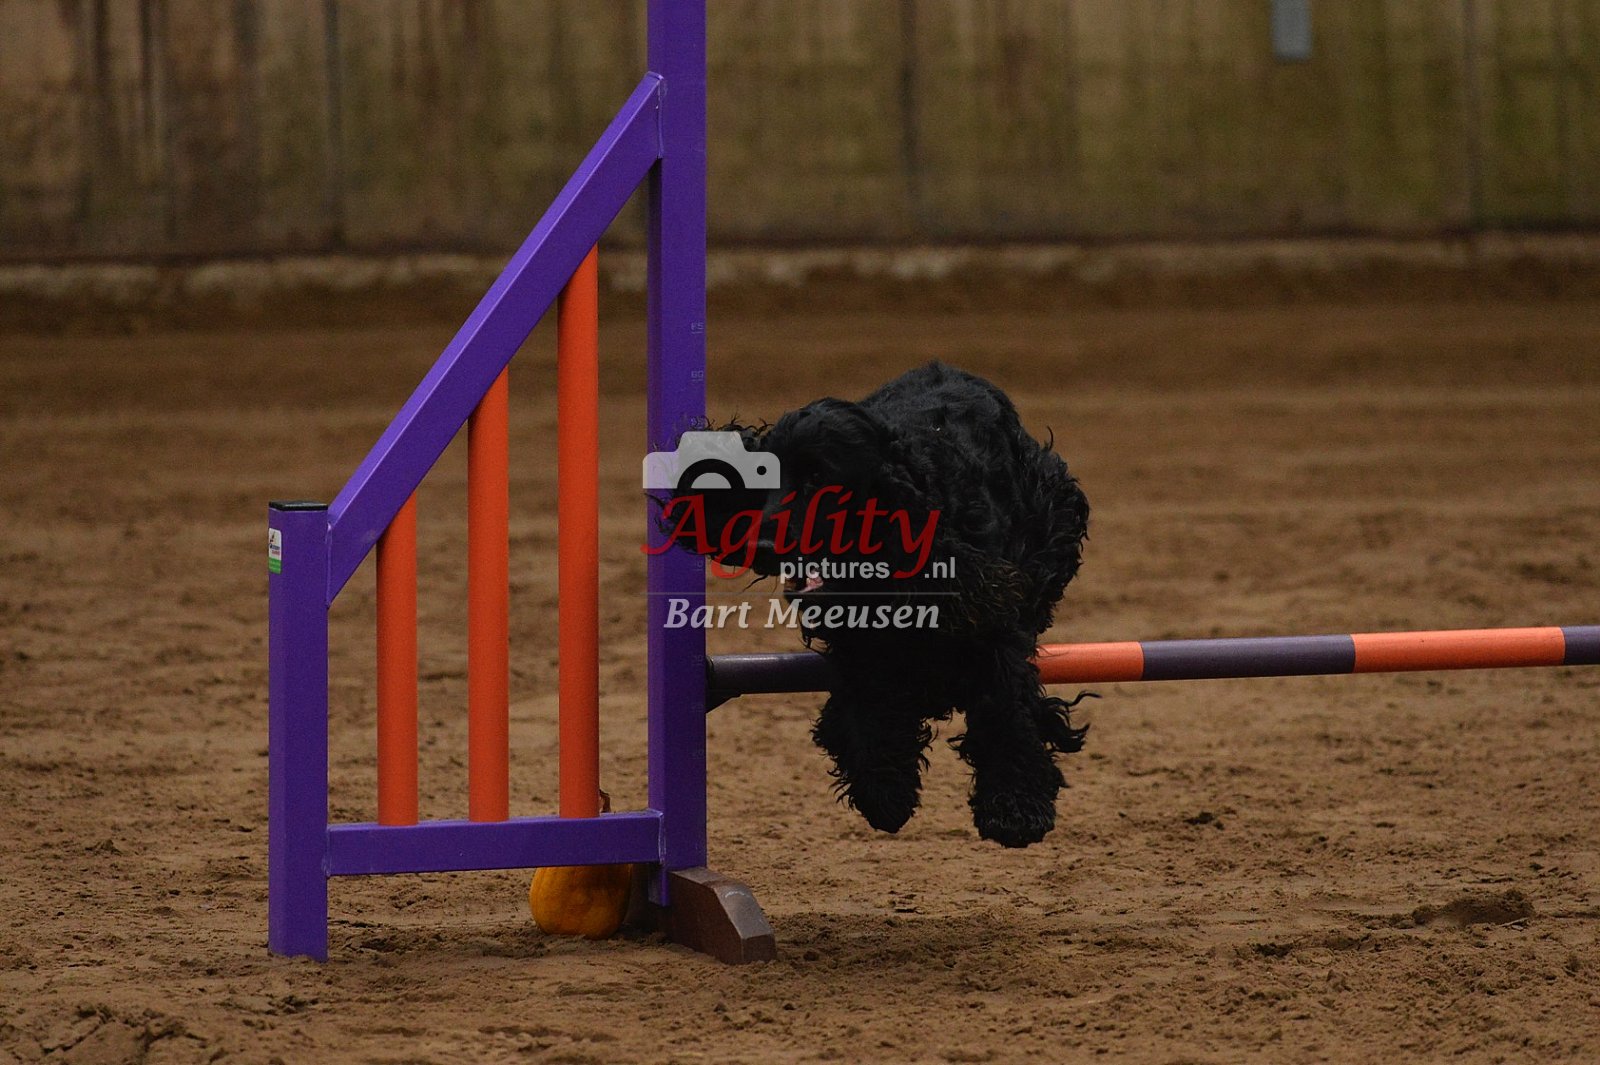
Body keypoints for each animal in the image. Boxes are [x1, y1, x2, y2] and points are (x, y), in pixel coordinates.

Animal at [662, 361, 1091, 847]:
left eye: (817, 479)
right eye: (764, 476)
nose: (763, 545)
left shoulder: (992, 620)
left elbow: (1005, 703)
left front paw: (1017, 805)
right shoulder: (862, 648)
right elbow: (869, 707)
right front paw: (883, 789)